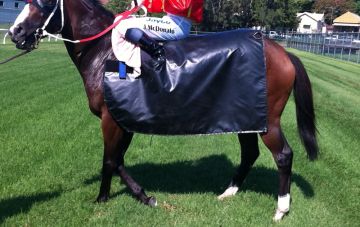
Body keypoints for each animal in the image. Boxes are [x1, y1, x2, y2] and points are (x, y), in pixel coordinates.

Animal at [7, 0, 318, 221]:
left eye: (46, 2)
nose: (14, 32)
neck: (104, 52)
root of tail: (283, 52)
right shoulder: (124, 119)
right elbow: (118, 161)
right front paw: (144, 196)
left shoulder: (111, 120)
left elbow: (109, 160)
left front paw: (102, 198)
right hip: (246, 118)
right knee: (250, 153)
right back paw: (228, 191)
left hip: (269, 122)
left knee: (283, 155)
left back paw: (281, 209)